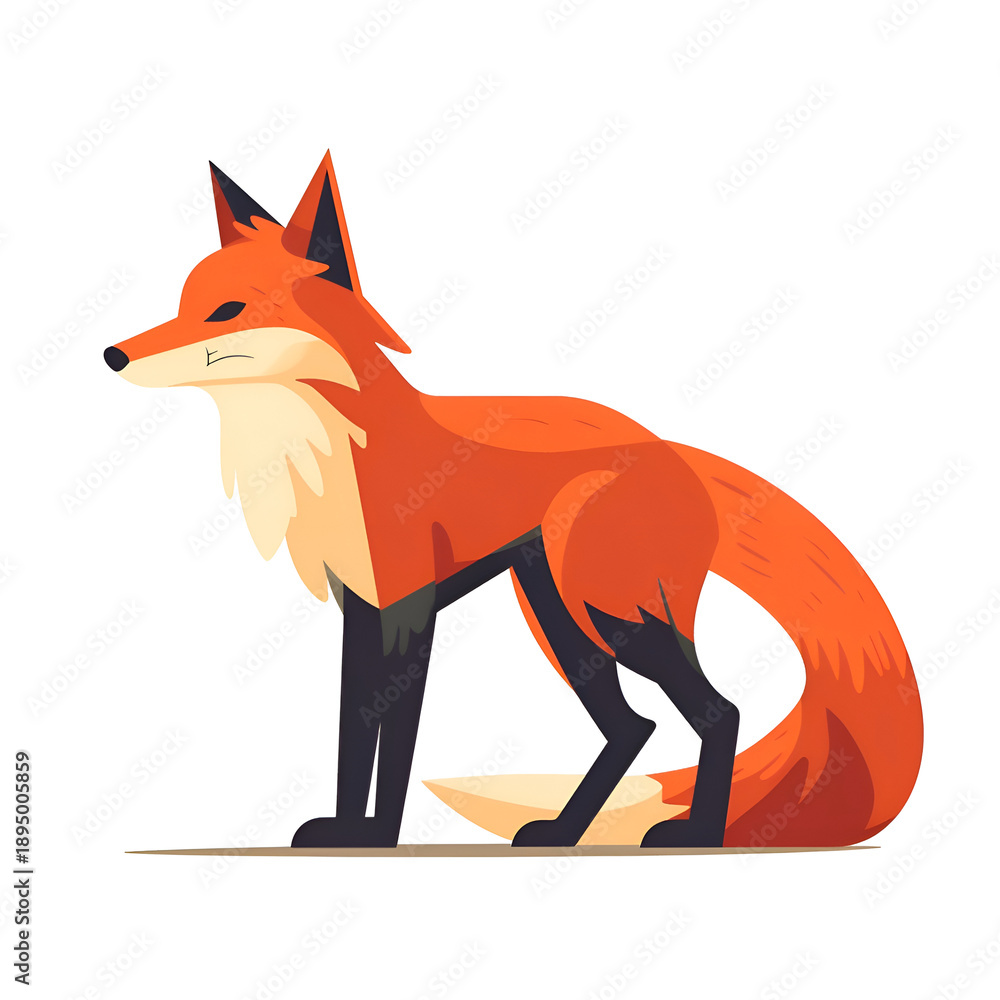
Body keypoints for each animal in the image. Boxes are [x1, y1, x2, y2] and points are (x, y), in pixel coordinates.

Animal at [104, 152, 923, 849]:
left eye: (226, 310)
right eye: (182, 303)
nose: (113, 354)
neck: (338, 452)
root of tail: (665, 446)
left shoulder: (408, 610)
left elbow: (394, 744)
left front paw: (380, 837)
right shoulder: (361, 610)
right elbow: (351, 737)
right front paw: (342, 830)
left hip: (608, 612)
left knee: (718, 712)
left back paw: (694, 834)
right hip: (556, 613)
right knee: (633, 727)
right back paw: (563, 831)